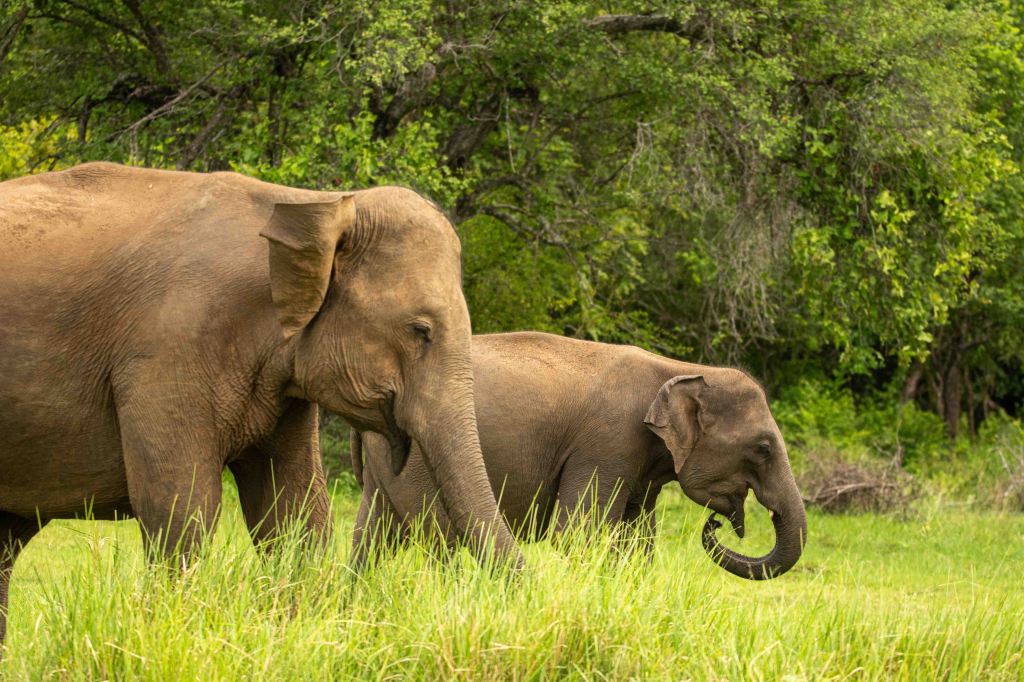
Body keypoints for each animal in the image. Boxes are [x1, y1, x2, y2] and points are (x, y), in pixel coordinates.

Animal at [0, 162, 521, 651]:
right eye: (420, 330)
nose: (521, 588)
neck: (308, 206)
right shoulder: (166, 354)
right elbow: (179, 506)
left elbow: (293, 509)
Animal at [351, 332, 807, 579]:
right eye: (763, 448)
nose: (714, 524)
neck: (682, 369)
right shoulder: (607, 443)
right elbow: (578, 534)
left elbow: (636, 540)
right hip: (419, 459)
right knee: (438, 537)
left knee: (374, 532)